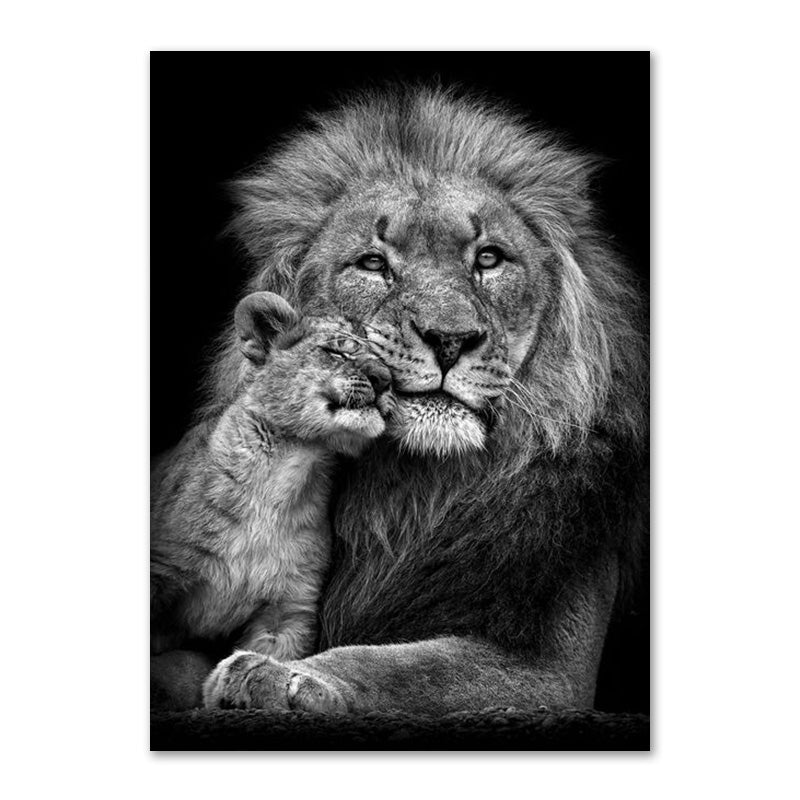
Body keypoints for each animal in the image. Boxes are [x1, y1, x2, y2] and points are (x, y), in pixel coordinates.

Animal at [188, 85, 647, 714]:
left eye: (488, 258)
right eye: (373, 263)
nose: (450, 339)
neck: (410, 493)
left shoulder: (554, 673)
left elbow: (402, 667)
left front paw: (280, 675)